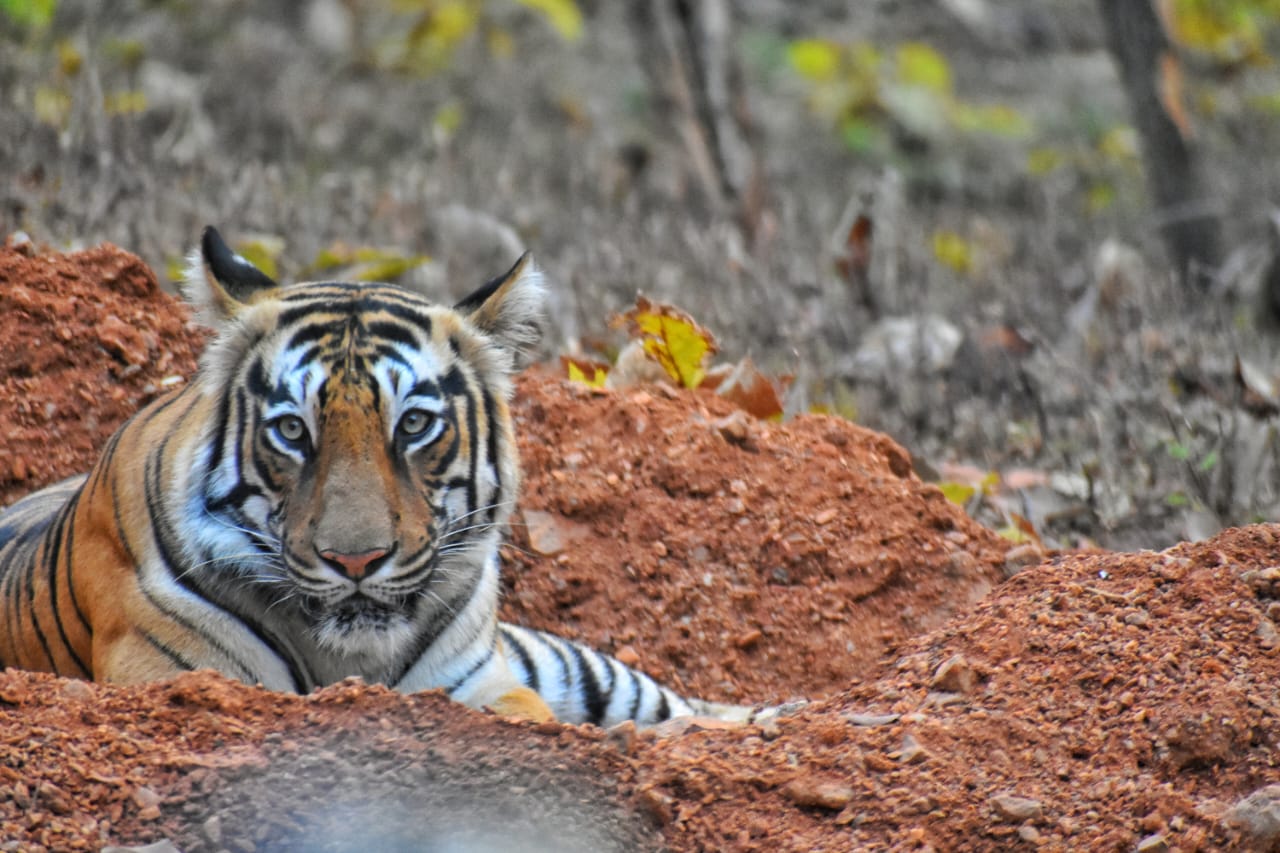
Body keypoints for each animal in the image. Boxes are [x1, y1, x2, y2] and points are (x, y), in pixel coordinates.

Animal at [0, 229, 778, 727]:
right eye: (293, 431)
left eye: (414, 425)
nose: (356, 561)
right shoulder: (171, 675)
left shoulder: (483, 680)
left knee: (682, 708)